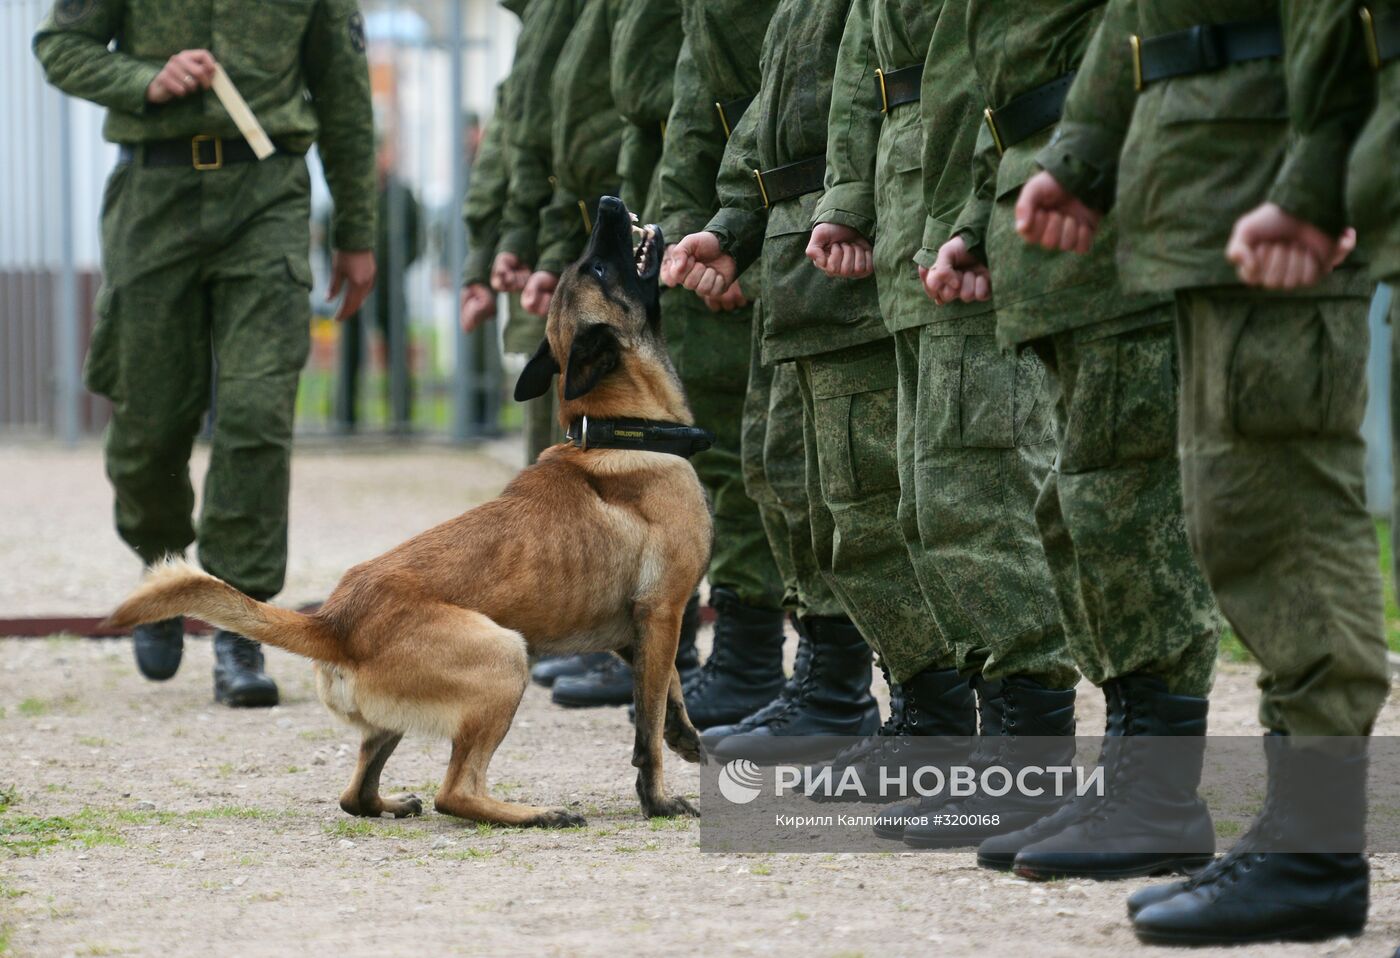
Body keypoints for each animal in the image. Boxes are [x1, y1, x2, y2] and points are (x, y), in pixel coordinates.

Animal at [105, 198, 711, 829]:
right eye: (595, 269)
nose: (609, 204)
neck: (616, 429)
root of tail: (333, 622)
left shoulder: (640, 633)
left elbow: (669, 692)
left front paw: (686, 736)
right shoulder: (662, 612)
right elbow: (646, 725)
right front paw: (658, 798)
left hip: (401, 717)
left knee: (356, 794)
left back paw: (392, 802)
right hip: (505, 658)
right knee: (456, 791)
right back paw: (535, 813)